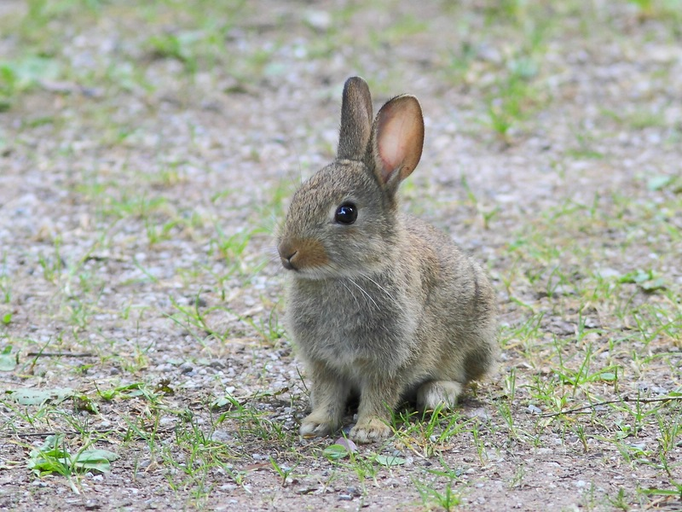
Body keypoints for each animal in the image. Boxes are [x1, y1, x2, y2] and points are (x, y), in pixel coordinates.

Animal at [277, 76, 498, 443]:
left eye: (346, 213)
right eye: (298, 196)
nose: (286, 253)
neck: (345, 276)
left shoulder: (390, 359)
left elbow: (380, 393)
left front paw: (369, 429)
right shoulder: (324, 363)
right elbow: (327, 393)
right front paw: (316, 423)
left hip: (474, 340)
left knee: (462, 377)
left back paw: (437, 395)